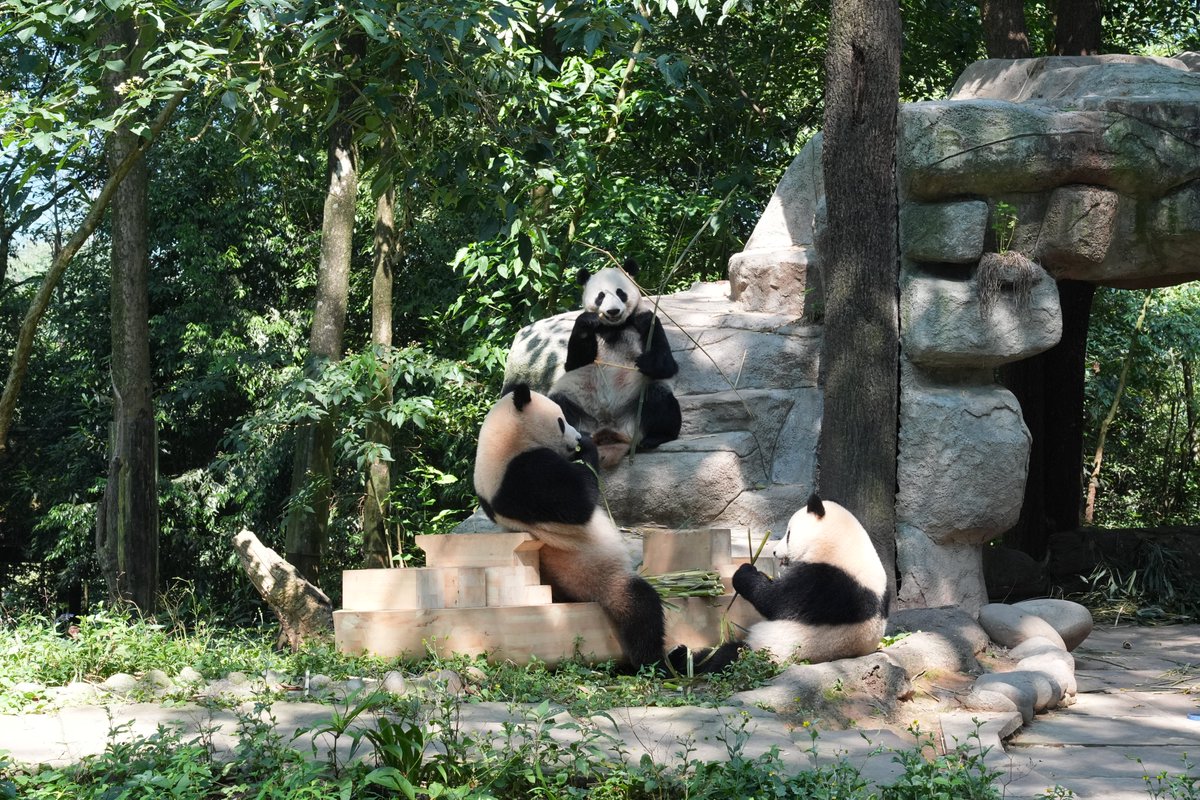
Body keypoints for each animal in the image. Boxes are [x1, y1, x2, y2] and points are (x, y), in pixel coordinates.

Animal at [473, 383, 666, 670]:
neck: (501, 442)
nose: (576, 437)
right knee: (641, 608)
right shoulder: (523, 473)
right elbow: (580, 502)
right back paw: (662, 662)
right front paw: (587, 445)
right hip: (593, 577)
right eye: (561, 421)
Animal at [547, 258, 681, 468]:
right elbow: (574, 363)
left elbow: (667, 365)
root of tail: (610, 434)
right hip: (576, 403)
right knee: (558, 404)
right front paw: (586, 321)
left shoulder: (646, 323)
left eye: (620, 293)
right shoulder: (593, 333)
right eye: (600, 296)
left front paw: (646, 362)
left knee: (659, 398)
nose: (613, 311)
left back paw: (656, 437)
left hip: (636, 411)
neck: (615, 327)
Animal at [668, 493, 890, 673]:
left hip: (768, 649)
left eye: (789, 534)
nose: (774, 552)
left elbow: (775, 601)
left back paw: (680, 658)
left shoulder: (824, 581)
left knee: (723, 657)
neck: (842, 544)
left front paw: (745, 572)